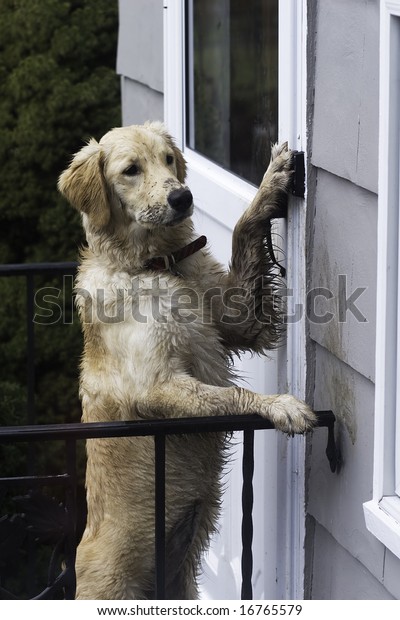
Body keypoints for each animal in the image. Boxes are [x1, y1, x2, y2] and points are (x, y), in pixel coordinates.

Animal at [58, 121, 316, 600]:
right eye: (131, 170)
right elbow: (233, 395)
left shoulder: (242, 322)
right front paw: (280, 406)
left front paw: (270, 184)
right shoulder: (155, 387)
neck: (156, 265)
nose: (182, 197)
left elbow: (242, 231)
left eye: (168, 160)